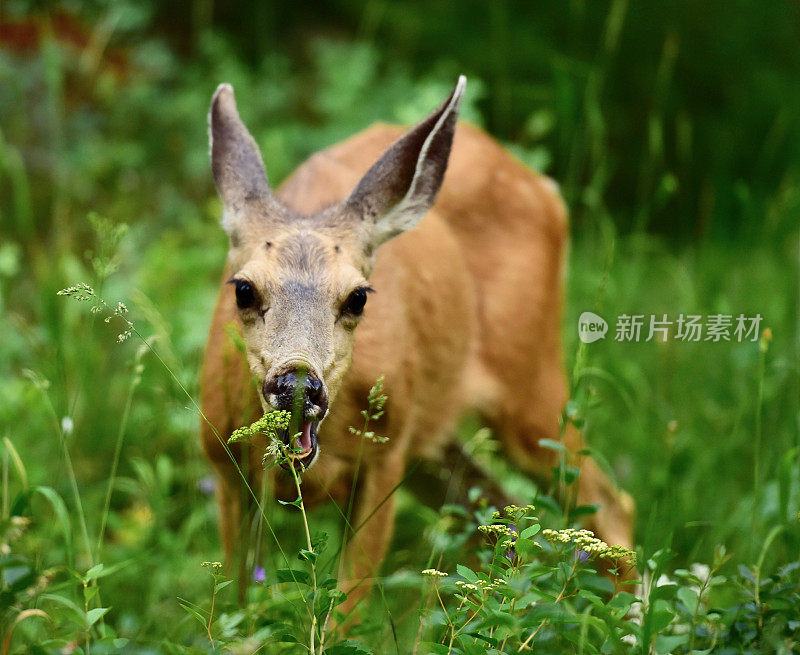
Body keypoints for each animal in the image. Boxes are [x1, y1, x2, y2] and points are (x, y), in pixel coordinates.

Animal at [198, 77, 632, 616]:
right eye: (243, 289)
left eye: (359, 296)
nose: (297, 384)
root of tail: (542, 184)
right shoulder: (224, 465)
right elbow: (235, 608)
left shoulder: (385, 460)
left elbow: (346, 611)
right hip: (437, 434)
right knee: (496, 518)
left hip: (529, 381)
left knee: (609, 504)